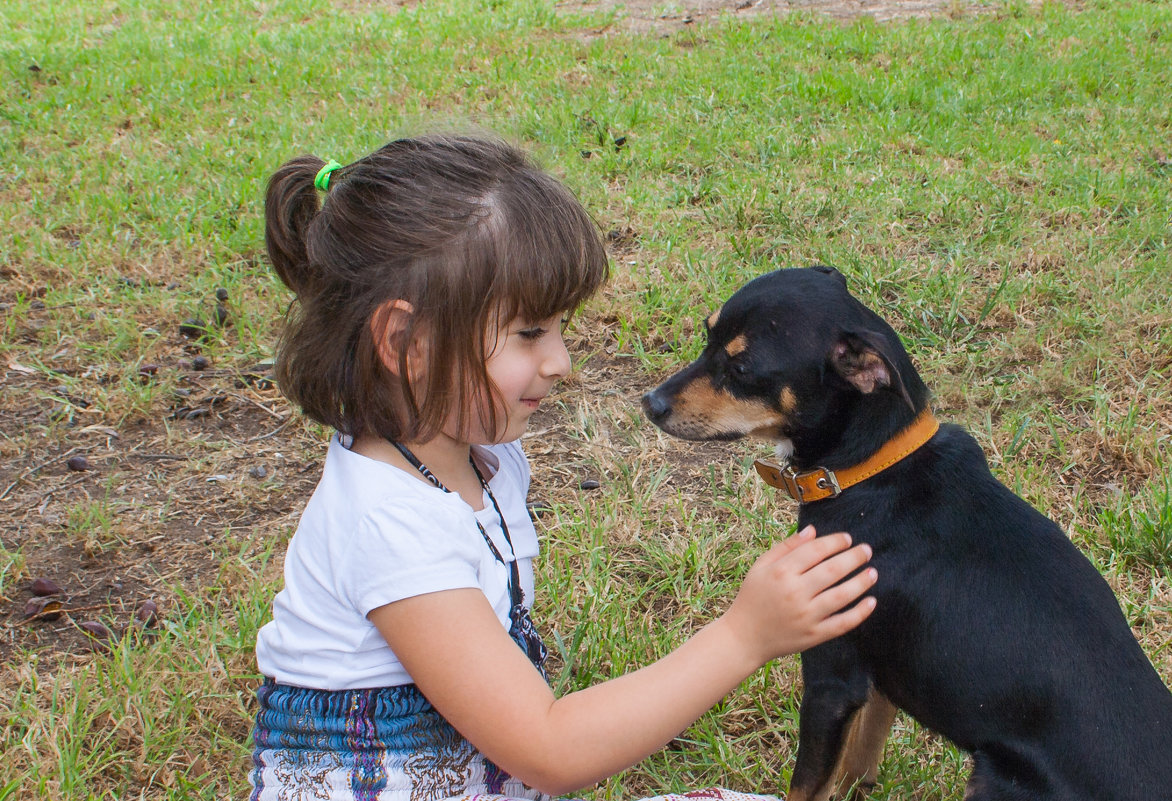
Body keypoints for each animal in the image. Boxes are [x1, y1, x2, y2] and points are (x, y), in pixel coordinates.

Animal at [642, 267, 1172, 801]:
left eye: (742, 367)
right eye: (707, 335)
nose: (650, 403)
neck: (873, 470)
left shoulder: (832, 682)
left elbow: (807, 786)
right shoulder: (881, 681)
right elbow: (859, 763)